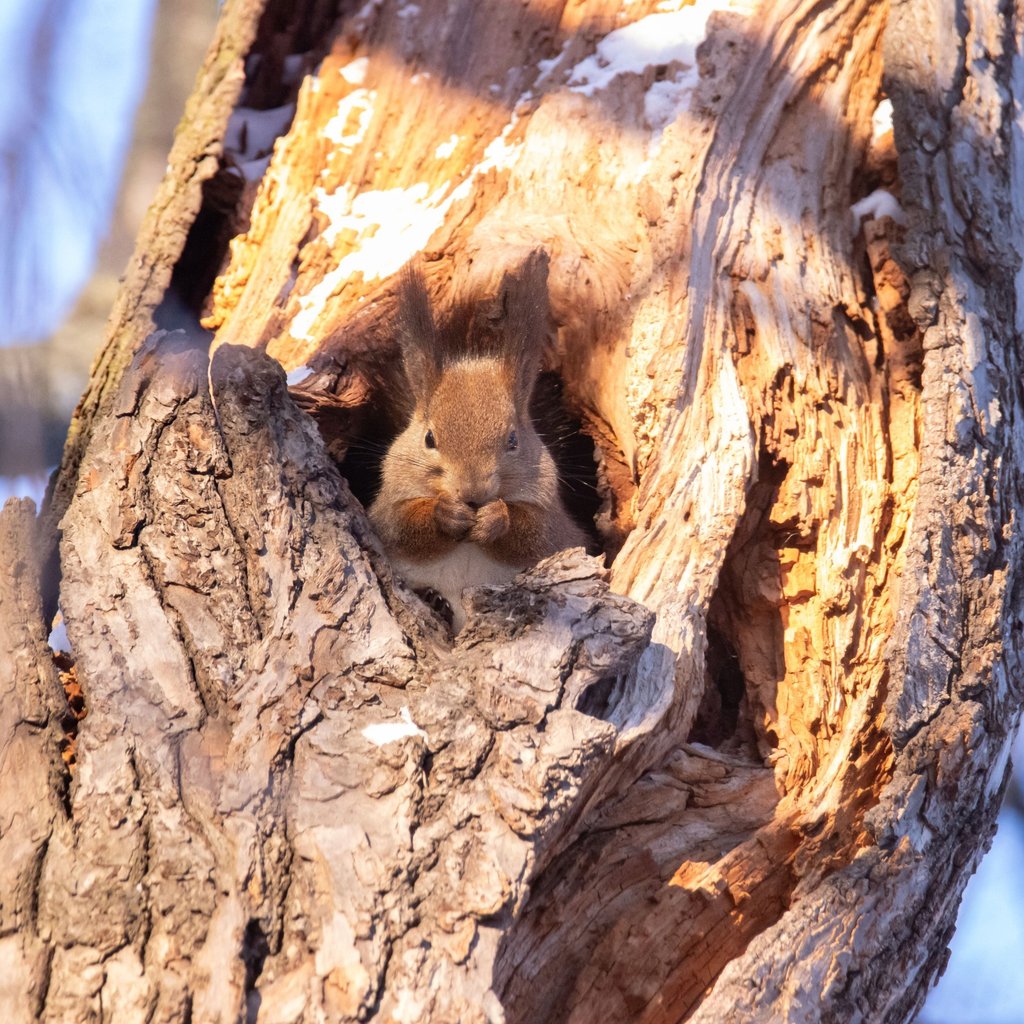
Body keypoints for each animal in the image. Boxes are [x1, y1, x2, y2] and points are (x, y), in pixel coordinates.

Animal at [370, 249, 593, 630]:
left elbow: (532, 532)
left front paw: (495, 518)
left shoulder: (554, 526)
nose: (472, 494)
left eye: (513, 440)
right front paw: (445, 514)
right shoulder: (384, 511)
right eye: (429, 438)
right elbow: (401, 526)